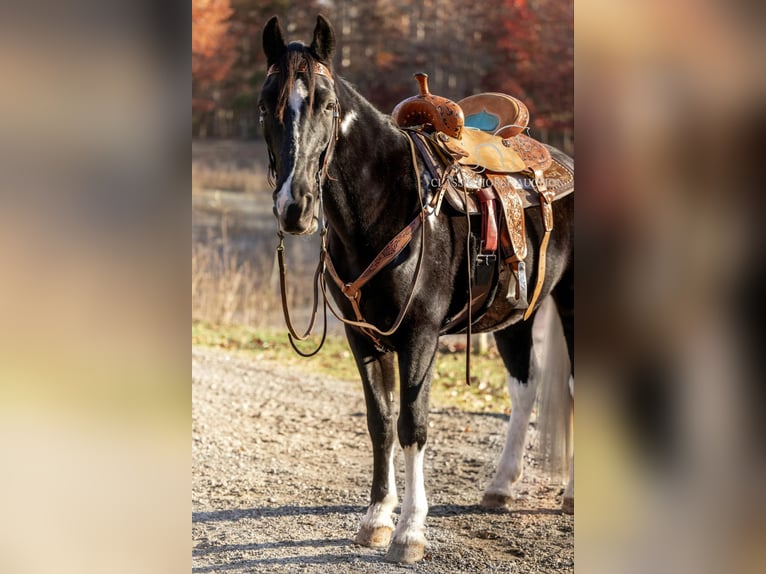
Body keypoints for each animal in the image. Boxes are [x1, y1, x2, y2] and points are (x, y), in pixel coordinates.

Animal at [260, 14, 572, 568]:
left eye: (326, 102)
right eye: (264, 102)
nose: (294, 207)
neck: (387, 205)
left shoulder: (420, 337)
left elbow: (413, 425)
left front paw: (409, 532)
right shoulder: (363, 338)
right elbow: (381, 422)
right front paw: (375, 521)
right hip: (516, 315)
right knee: (525, 388)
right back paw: (500, 488)